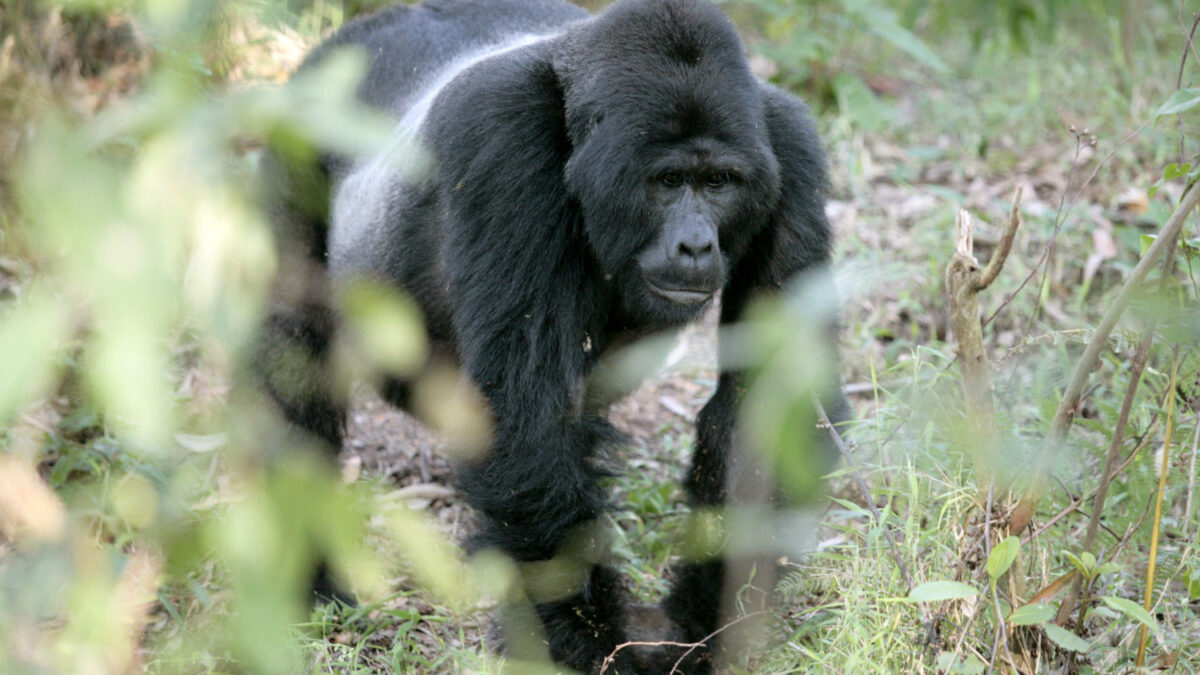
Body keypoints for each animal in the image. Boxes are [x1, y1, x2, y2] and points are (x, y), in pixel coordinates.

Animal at [260, 0, 844, 667]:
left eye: (719, 182)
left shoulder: (790, 150)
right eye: (669, 182)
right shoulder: (506, 146)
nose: (696, 246)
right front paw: (586, 639)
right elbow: (525, 421)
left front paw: (710, 619)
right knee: (293, 362)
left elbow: (775, 401)